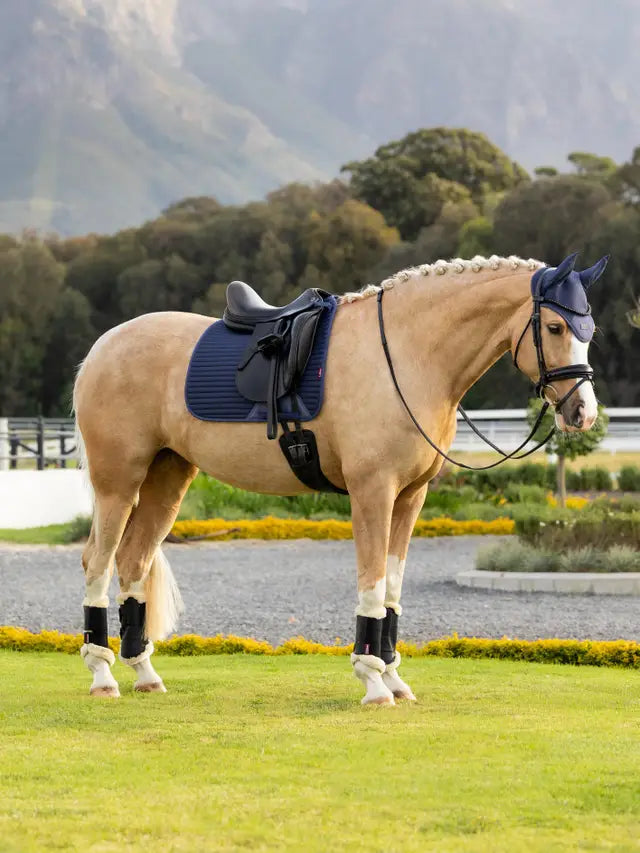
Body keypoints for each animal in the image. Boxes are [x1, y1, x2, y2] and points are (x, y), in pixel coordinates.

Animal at [73, 251, 608, 704]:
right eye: (555, 326)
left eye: (590, 330)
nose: (582, 413)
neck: (407, 356)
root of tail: (101, 348)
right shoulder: (373, 492)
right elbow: (371, 585)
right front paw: (373, 683)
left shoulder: (411, 497)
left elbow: (391, 590)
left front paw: (394, 678)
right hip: (118, 483)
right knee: (98, 563)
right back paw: (101, 676)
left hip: (168, 477)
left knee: (133, 561)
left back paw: (144, 674)